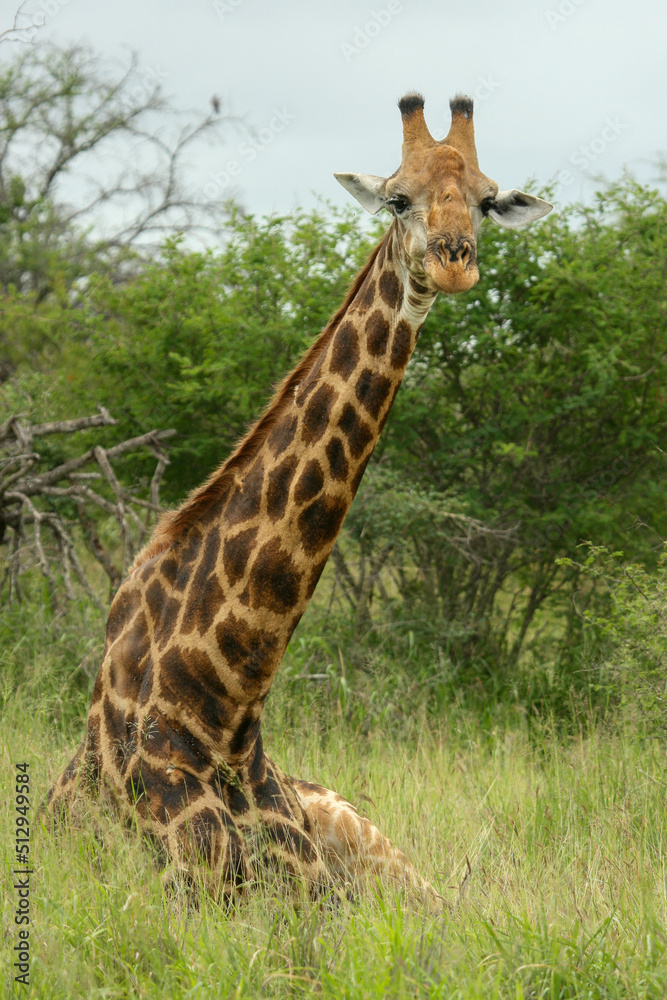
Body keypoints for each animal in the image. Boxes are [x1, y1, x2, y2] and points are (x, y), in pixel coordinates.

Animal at [43, 94, 551, 907]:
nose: (454, 260)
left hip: (388, 858)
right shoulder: (193, 886)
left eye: (485, 199)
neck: (226, 699)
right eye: (397, 198)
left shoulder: (314, 899)